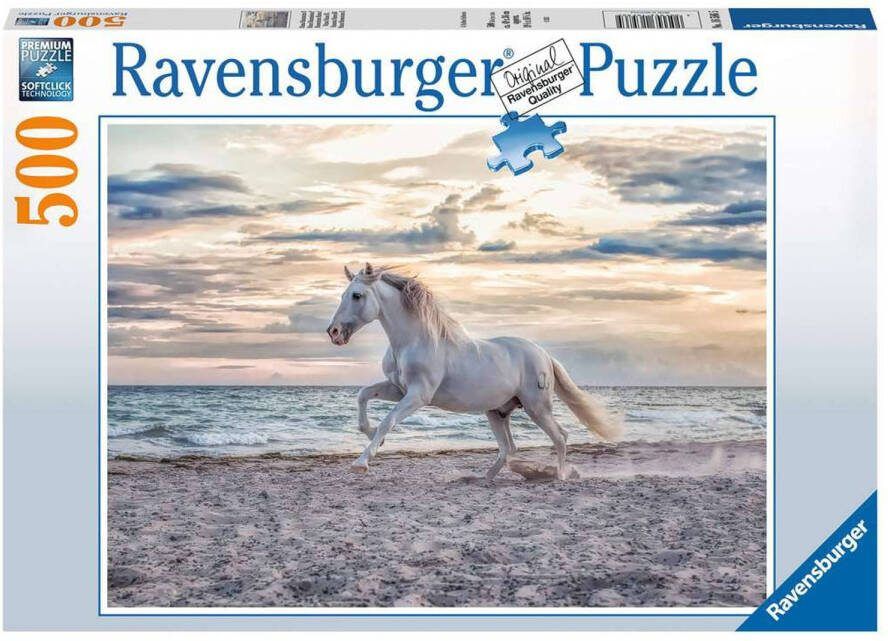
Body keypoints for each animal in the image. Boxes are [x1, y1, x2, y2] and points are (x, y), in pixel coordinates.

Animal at [326, 263, 623, 479]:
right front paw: (370, 434)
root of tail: (543, 354)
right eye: (342, 295)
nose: (334, 332)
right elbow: (363, 396)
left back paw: (560, 476)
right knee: (509, 447)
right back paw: (484, 477)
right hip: (497, 412)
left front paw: (362, 462)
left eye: (357, 295)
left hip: (536, 407)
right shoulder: (398, 389)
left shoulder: (418, 395)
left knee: (560, 436)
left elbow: (388, 420)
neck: (413, 341)